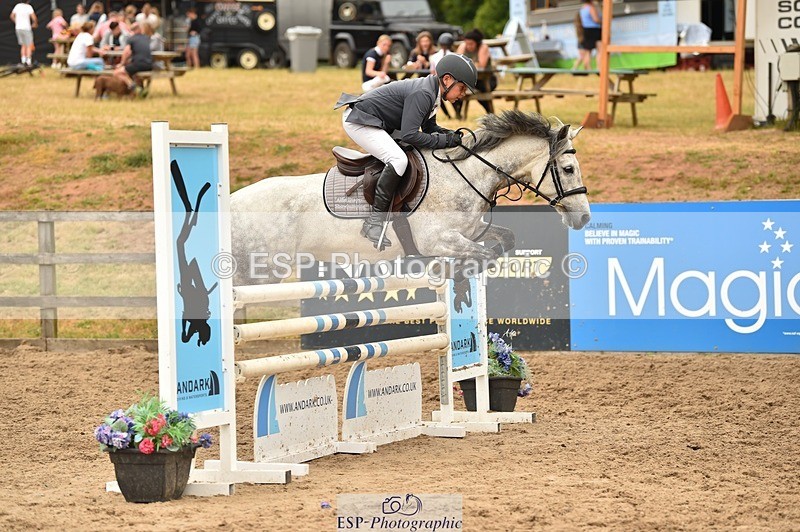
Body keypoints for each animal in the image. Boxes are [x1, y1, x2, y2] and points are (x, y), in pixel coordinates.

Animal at [230, 111, 591, 286]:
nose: (584, 217)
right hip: (258, 274)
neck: (465, 174)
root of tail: (232, 202)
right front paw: (458, 273)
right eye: (568, 169)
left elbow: (505, 240)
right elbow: (483, 254)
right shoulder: (439, 240)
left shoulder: (470, 231)